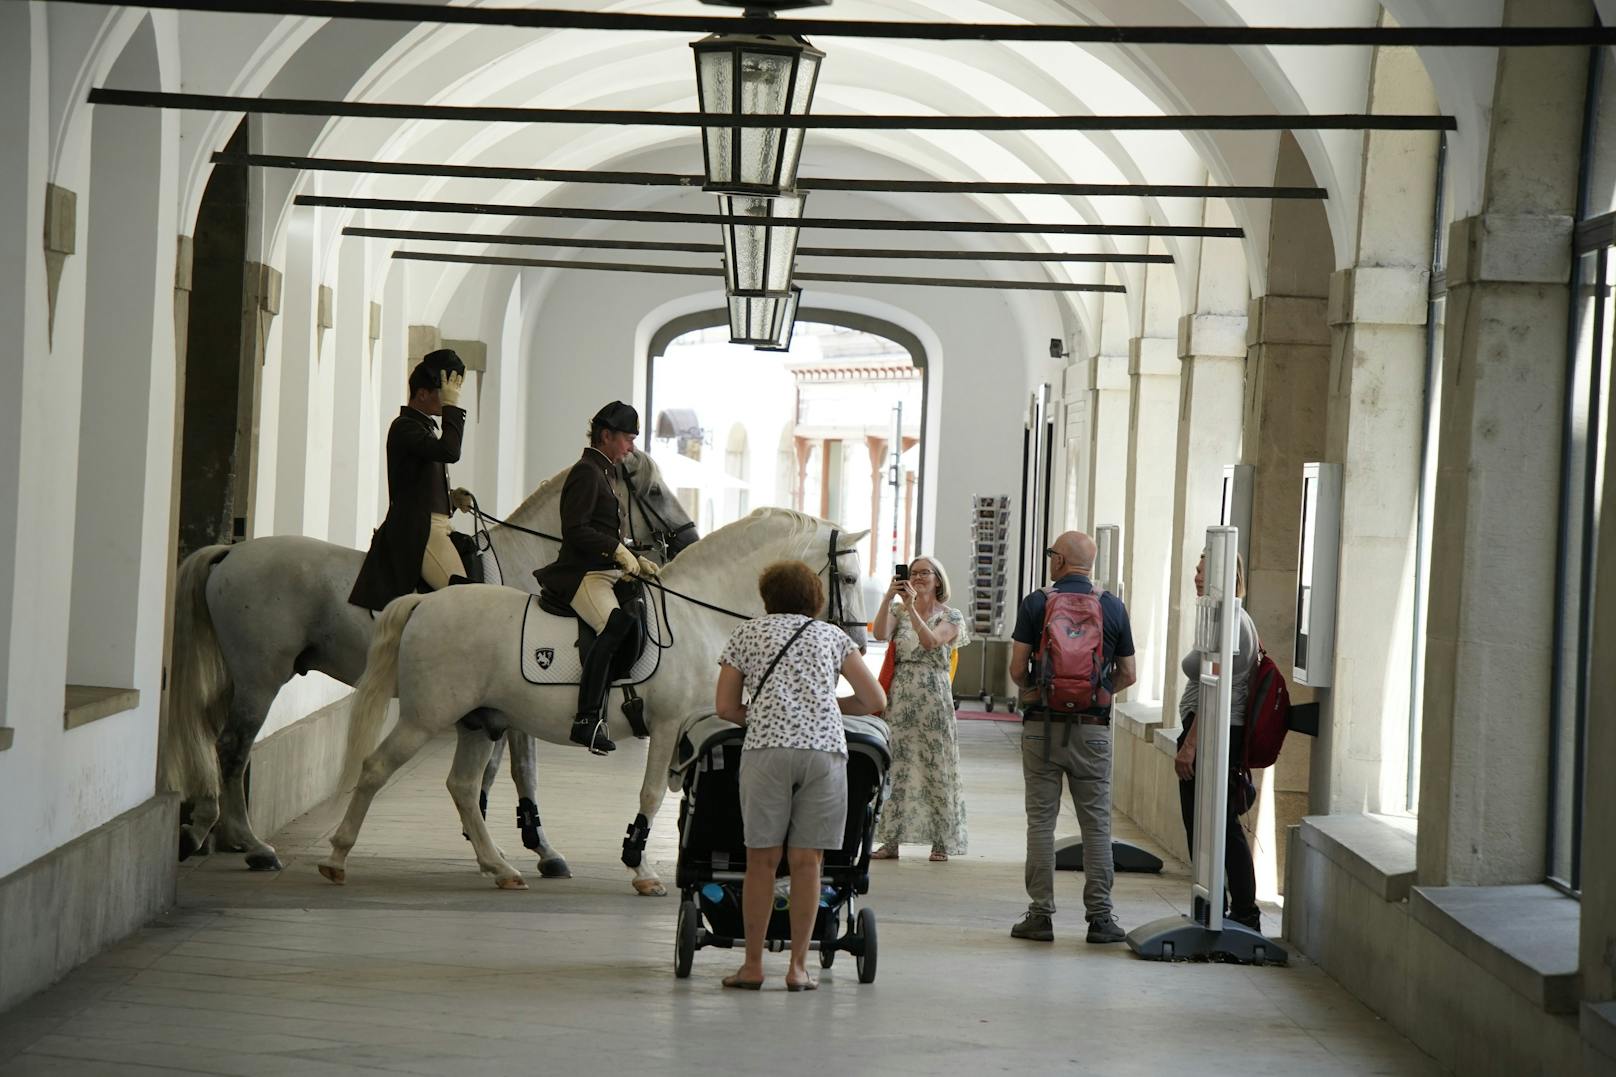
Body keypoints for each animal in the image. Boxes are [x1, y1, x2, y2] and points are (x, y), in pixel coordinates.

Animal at [164, 449, 694, 866]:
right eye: (655, 490)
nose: (688, 539)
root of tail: (230, 554)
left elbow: (507, 768)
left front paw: (504, 838)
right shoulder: (520, 697)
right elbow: (517, 769)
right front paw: (527, 845)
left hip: (241, 675)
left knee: (213, 732)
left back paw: (205, 827)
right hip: (261, 678)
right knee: (233, 746)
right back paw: (251, 844)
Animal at [318, 507, 872, 892]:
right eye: (848, 578)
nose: (861, 644)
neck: (700, 614)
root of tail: (424, 602)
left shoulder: (701, 729)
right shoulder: (668, 725)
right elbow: (651, 793)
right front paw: (642, 868)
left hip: (480, 721)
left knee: (463, 787)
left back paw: (500, 867)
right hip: (425, 717)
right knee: (376, 769)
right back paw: (336, 858)